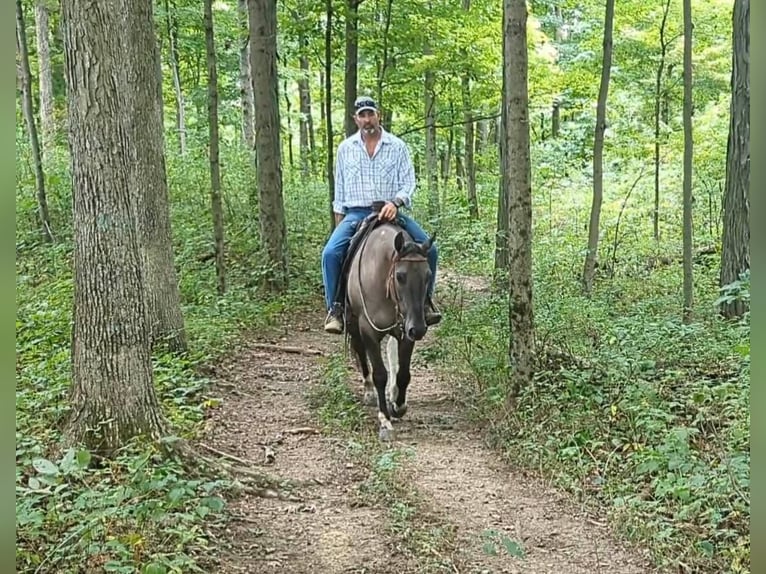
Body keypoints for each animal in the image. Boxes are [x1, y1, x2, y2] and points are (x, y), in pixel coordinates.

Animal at [344, 216, 436, 440]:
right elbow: (380, 374)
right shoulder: (368, 330)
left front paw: (398, 406)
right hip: (353, 322)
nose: (418, 329)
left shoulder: (406, 331)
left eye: (428, 275)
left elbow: (404, 373)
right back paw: (369, 391)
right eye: (400, 276)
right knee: (360, 352)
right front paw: (385, 421)